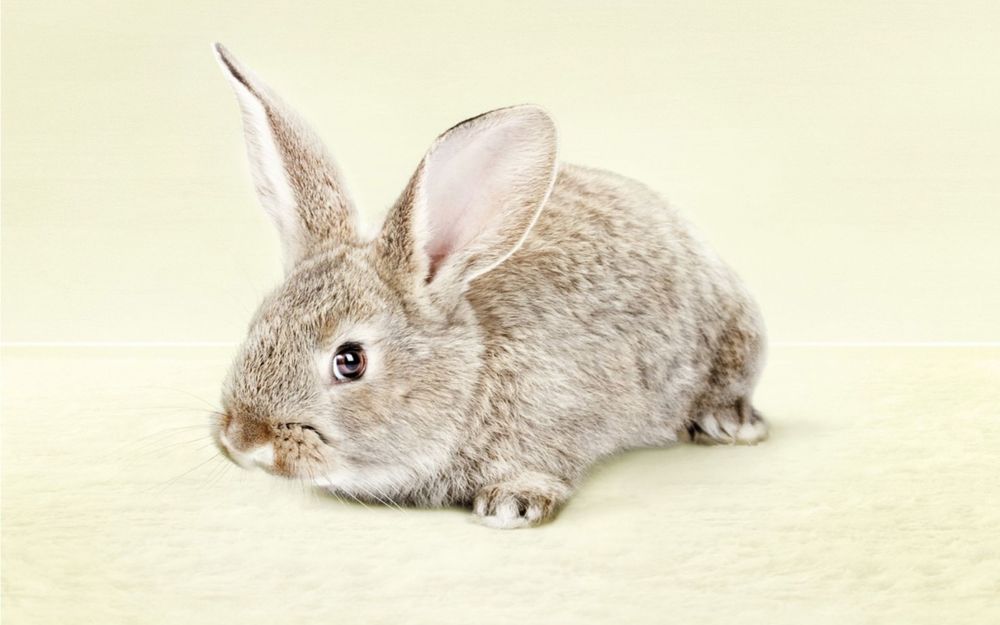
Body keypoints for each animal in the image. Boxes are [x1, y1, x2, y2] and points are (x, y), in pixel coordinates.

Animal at [211, 43, 768, 529]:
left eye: (351, 361)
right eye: (257, 325)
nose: (243, 440)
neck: (472, 373)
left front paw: (511, 506)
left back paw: (730, 424)